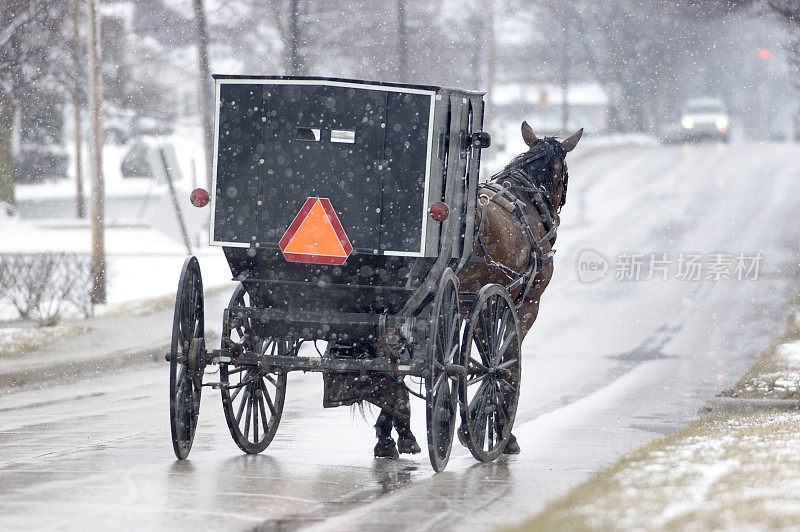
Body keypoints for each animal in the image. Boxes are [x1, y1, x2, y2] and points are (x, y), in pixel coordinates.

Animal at [376, 120, 580, 458]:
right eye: (565, 172)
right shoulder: (521, 304)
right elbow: (502, 359)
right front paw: (497, 429)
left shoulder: (469, 306)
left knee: (391, 355)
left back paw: (394, 434)